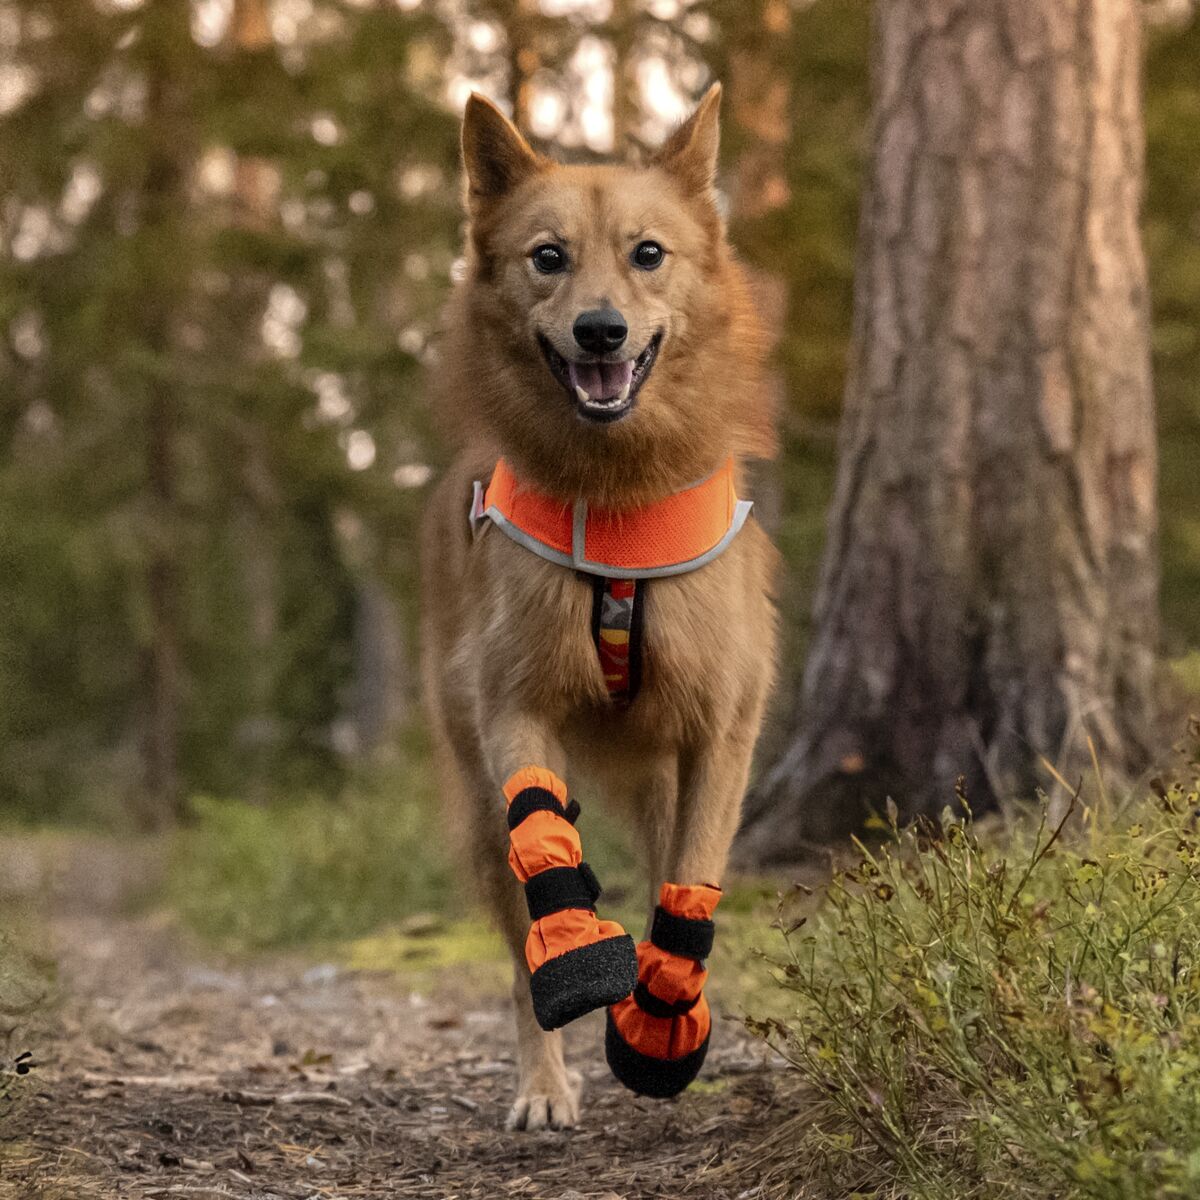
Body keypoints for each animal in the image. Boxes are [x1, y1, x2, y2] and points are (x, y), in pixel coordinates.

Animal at [420, 88, 777, 1128]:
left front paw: (661, 1027)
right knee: (515, 945)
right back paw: (544, 1080)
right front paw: (580, 968)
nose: (601, 331)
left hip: (661, 777)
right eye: (548, 257)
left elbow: (689, 886)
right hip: (475, 794)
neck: (617, 498)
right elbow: (546, 845)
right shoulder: (515, 710)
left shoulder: (721, 736)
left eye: (647, 253)